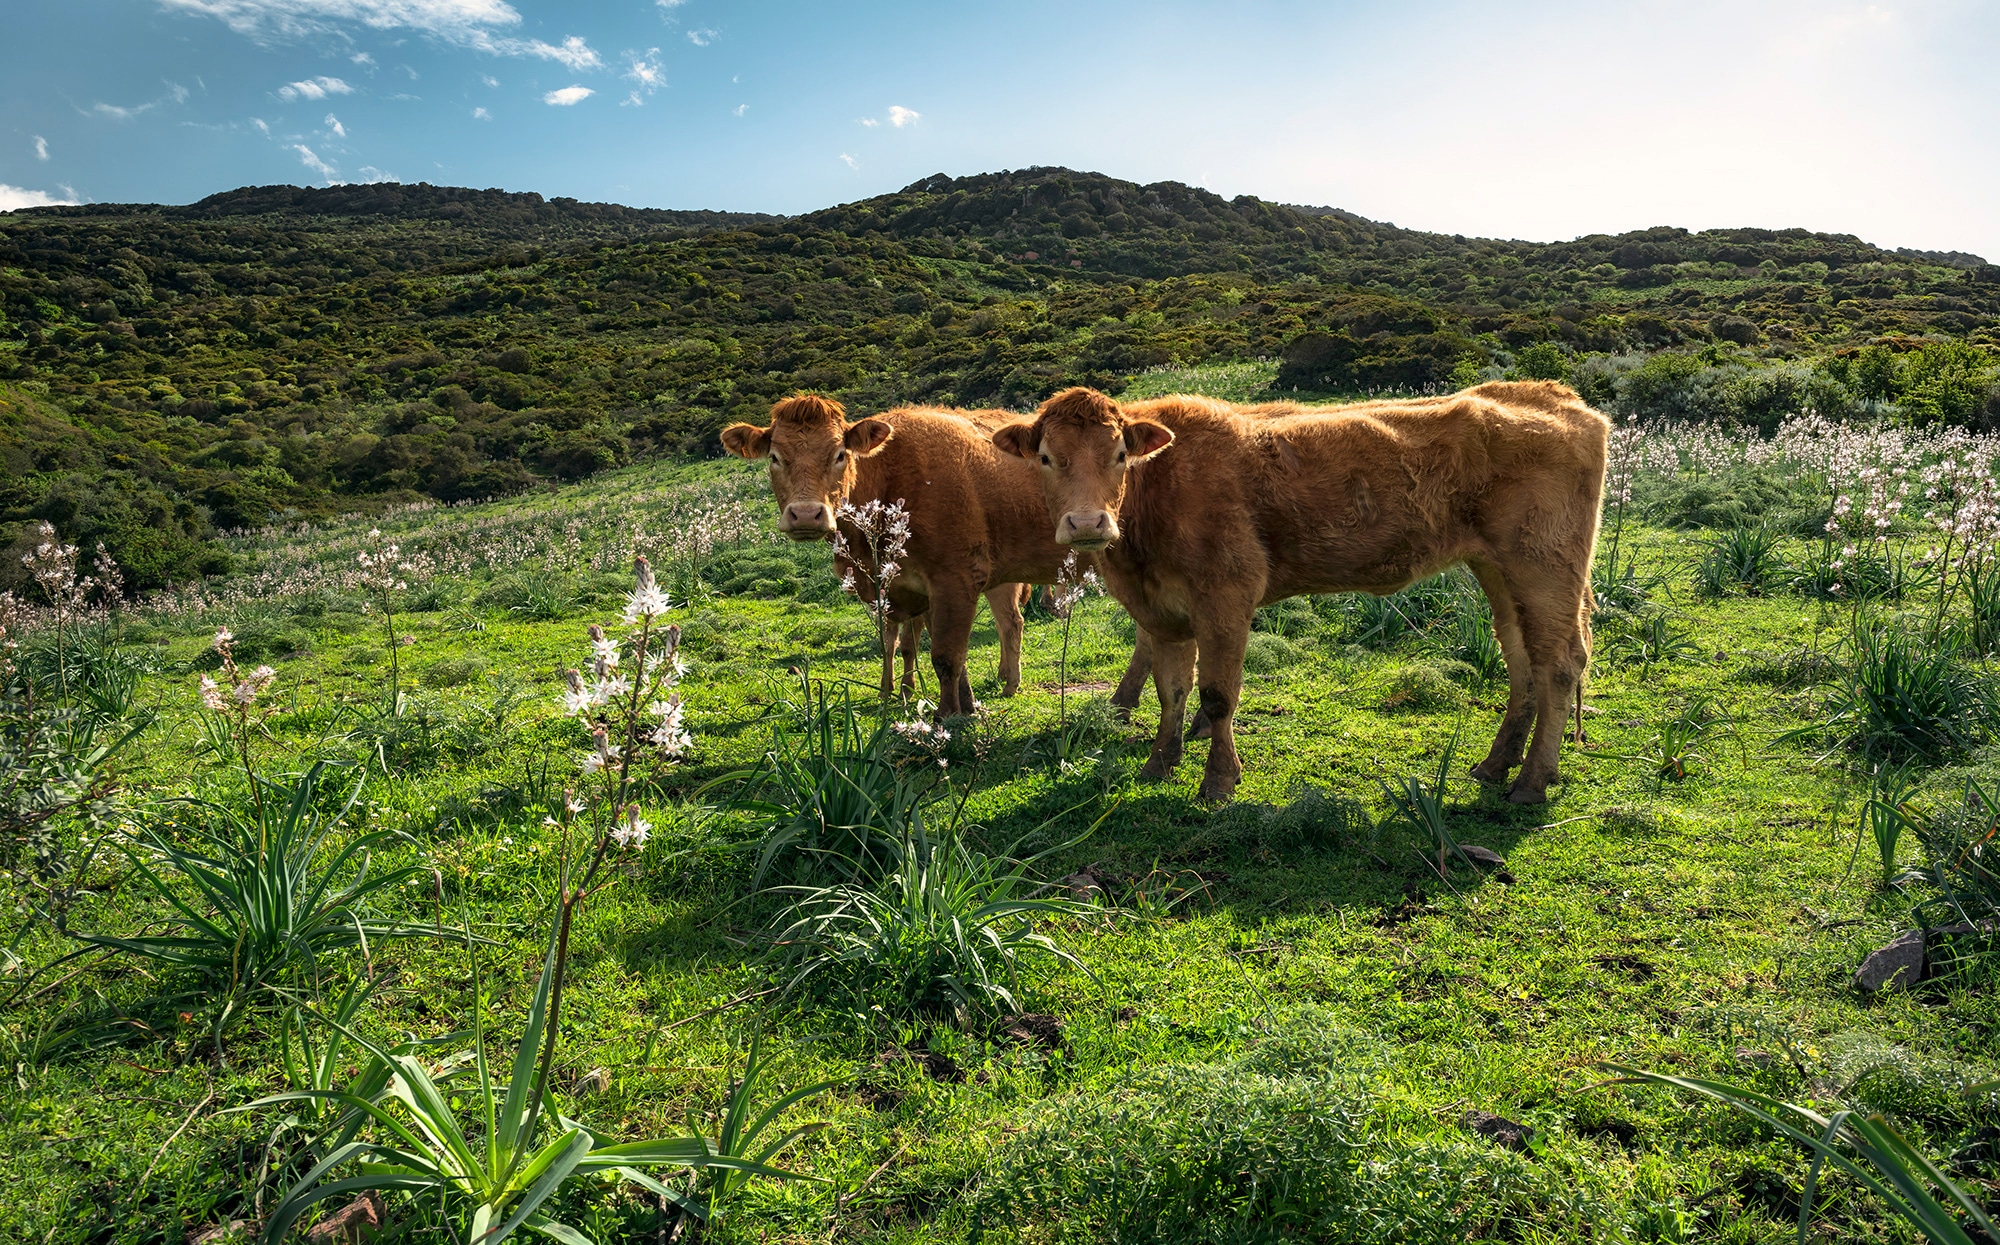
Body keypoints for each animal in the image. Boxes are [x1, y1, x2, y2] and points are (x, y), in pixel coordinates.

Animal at [728, 394, 1088, 716]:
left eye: (840, 454)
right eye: (774, 457)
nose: (805, 514)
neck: (890, 478)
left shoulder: (954, 581)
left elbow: (945, 655)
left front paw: (948, 715)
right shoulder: (908, 592)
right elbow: (916, 648)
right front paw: (962, 704)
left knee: (1011, 621)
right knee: (1011, 621)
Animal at [996, 382, 1608, 808]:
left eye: (1120, 455)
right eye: (1046, 458)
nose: (1087, 523)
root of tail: (1556, 396)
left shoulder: (1227, 597)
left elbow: (1217, 695)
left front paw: (1218, 781)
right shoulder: (1161, 612)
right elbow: (1172, 691)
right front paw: (1159, 764)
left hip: (1543, 565)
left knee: (1559, 663)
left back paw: (1530, 782)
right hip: (1500, 570)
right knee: (1522, 659)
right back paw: (1497, 765)